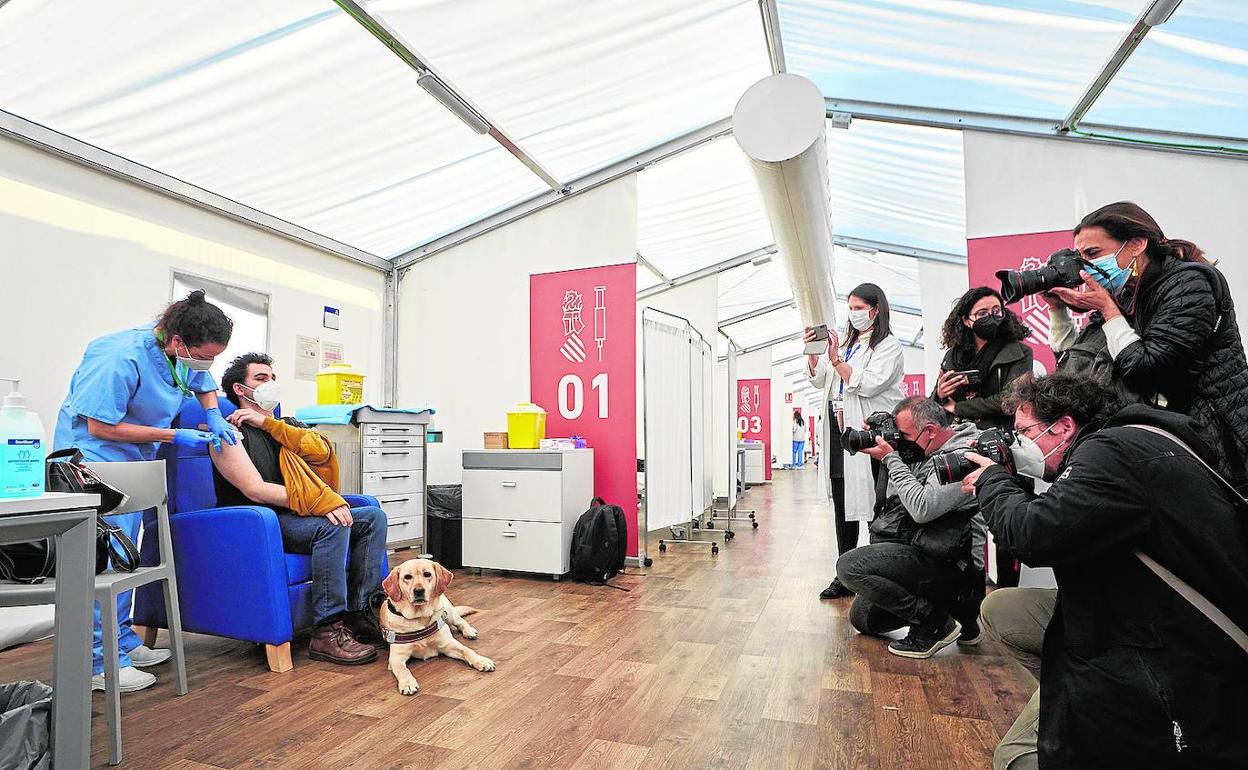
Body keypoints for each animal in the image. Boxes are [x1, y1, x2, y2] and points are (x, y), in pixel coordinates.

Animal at [376, 556, 494, 693]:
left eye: (427, 574)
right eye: (407, 577)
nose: (419, 591)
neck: (419, 617)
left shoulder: (448, 644)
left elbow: (467, 650)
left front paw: (481, 661)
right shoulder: (396, 657)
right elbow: (403, 670)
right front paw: (407, 683)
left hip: (449, 612)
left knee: (461, 621)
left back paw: (469, 631)